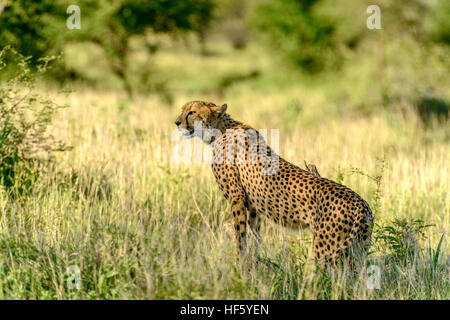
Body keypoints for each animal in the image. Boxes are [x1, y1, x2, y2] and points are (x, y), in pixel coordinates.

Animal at [174, 101, 374, 268]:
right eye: (183, 109)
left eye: (191, 112)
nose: (176, 122)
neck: (220, 129)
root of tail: (362, 205)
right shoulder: (251, 204)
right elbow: (255, 235)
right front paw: (254, 262)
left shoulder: (236, 197)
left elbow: (240, 236)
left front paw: (240, 266)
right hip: (358, 248)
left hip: (326, 251)